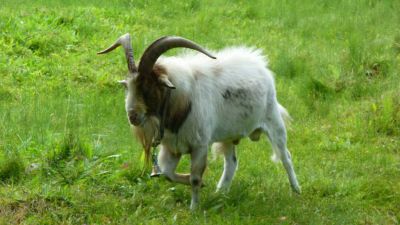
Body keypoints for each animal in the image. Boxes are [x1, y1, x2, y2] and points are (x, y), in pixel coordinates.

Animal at [98, 33, 300, 211]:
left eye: (147, 87)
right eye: (128, 86)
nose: (132, 116)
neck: (180, 99)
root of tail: (261, 65)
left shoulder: (200, 145)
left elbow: (194, 177)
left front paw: (194, 208)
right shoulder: (172, 148)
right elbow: (167, 173)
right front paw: (202, 185)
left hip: (273, 122)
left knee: (286, 157)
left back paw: (296, 191)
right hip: (228, 136)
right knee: (231, 162)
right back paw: (220, 193)